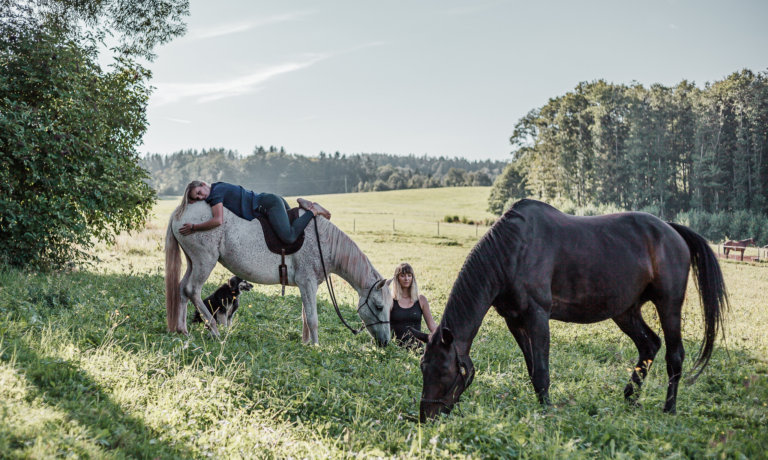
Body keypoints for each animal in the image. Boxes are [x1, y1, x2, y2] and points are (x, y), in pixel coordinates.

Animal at [162, 201, 390, 344]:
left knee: (182, 289)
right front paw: (316, 346)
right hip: (204, 262)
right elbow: (313, 318)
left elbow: (305, 317)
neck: (323, 241)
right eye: (379, 307)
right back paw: (214, 330)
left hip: (193, 262)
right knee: (192, 290)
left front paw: (306, 343)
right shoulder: (307, 283)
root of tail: (181, 212)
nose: (386, 342)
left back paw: (182, 330)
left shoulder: (307, 286)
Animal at [414, 199, 728, 420]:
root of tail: (672, 230)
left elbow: (542, 370)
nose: (426, 417)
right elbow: (532, 368)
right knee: (649, 345)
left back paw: (668, 409)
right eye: (423, 367)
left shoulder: (537, 316)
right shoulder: (514, 321)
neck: (512, 251)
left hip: (668, 306)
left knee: (674, 356)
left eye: (445, 371)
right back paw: (630, 397)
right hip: (626, 311)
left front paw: (547, 411)